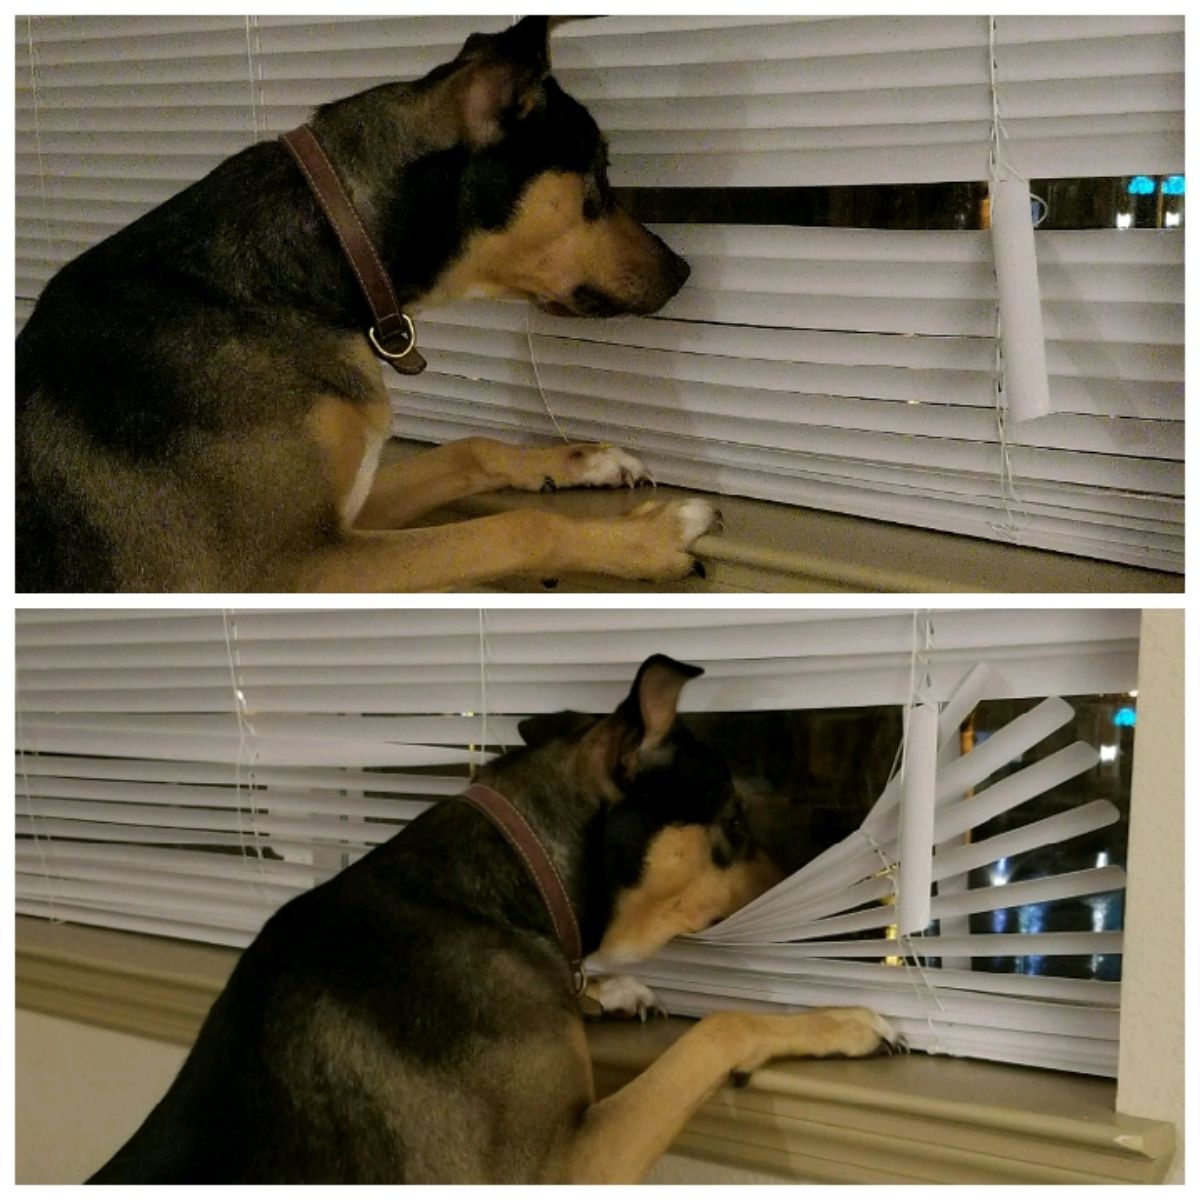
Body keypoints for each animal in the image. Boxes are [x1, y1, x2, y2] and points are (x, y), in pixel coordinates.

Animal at [16, 9, 720, 590]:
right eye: (598, 173)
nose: (684, 269)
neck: (319, 270)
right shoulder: (295, 568)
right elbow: (520, 526)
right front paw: (651, 536)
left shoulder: (347, 511)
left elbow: (466, 449)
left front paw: (585, 460)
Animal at [87, 662, 902, 1185]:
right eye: (732, 819)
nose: (806, 871)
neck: (511, 891)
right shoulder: (559, 1166)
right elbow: (717, 1030)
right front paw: (847, 1021)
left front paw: (611, 992)